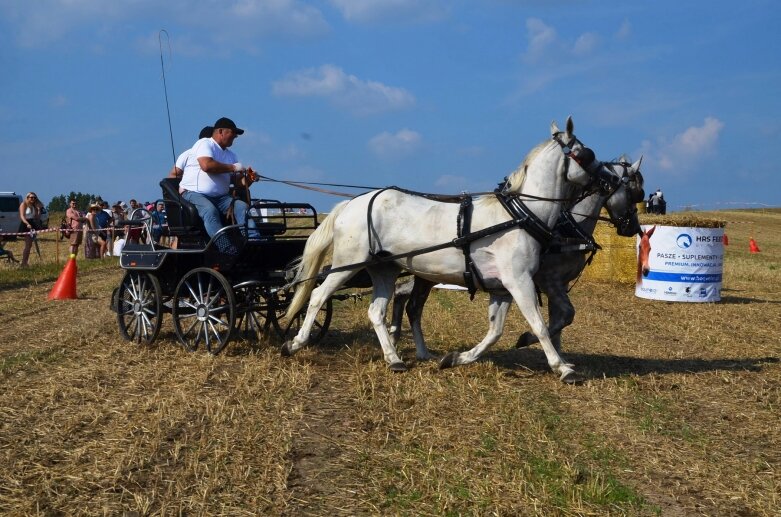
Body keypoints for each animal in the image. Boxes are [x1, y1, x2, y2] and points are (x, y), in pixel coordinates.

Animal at [282, 118, 596, 382]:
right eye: (588, 155)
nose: (605, 179)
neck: (520, 215)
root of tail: (352, 203)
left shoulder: (502, 287)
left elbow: (495, 331)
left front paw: (456, 358)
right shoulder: (519, 281)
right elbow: (539, 325)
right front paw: (563, 368)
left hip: (384, 269)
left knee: (376, 311)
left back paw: (394, 359)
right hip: (347, 264)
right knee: (317, 296)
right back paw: (295, 343)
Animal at [394, 157, 644, 362]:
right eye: (635, 191)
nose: (633, 228)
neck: (565, 226)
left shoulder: (558, 284)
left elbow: (559, 319)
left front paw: (559, 355)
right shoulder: (549, 281)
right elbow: (565, 315)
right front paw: (530, 340)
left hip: (426, 274)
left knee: (405, 300)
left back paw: (399, 340)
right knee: (408, 302)